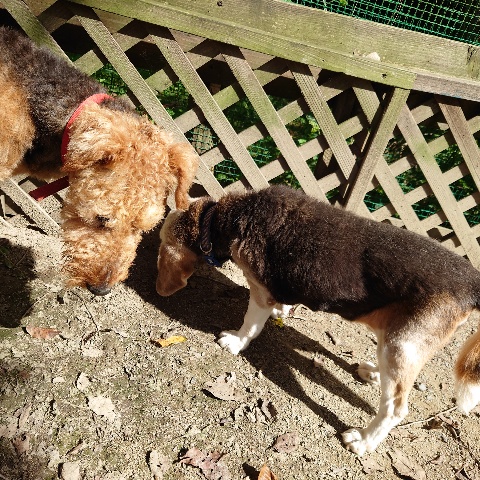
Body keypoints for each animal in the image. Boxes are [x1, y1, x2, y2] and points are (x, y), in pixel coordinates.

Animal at [156, 184, 480, 455]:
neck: (233, 215)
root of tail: (471, 280)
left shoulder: (260, 291)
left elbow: (250, 324)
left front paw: (236, 341)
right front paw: (283, 311)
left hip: (402, 346)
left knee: (395, 409)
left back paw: (364, 441)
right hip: (396, 341)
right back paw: (374, 373)